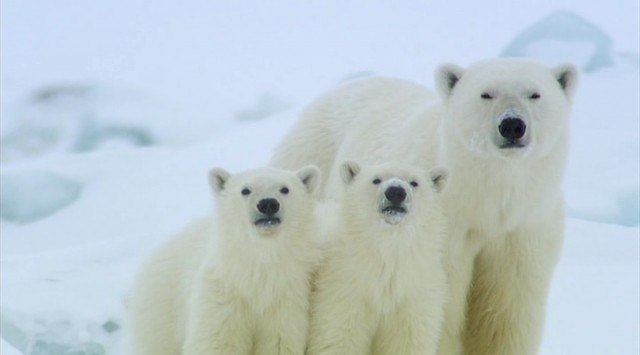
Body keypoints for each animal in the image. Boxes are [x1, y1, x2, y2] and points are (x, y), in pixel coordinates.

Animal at [129, 166, 320, 355]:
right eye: (245, 190)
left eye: (285, 189)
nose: (268, 204)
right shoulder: (222, 294)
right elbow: (217, 341)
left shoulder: (285, 299)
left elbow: (279, 342)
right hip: (161, 310)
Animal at [308, 162, 448, 355]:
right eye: (376, 180)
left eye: (414, 182)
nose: (395, 192)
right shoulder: (344, 285)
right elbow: (338, 337)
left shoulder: (414, 292)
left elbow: (407, 341)